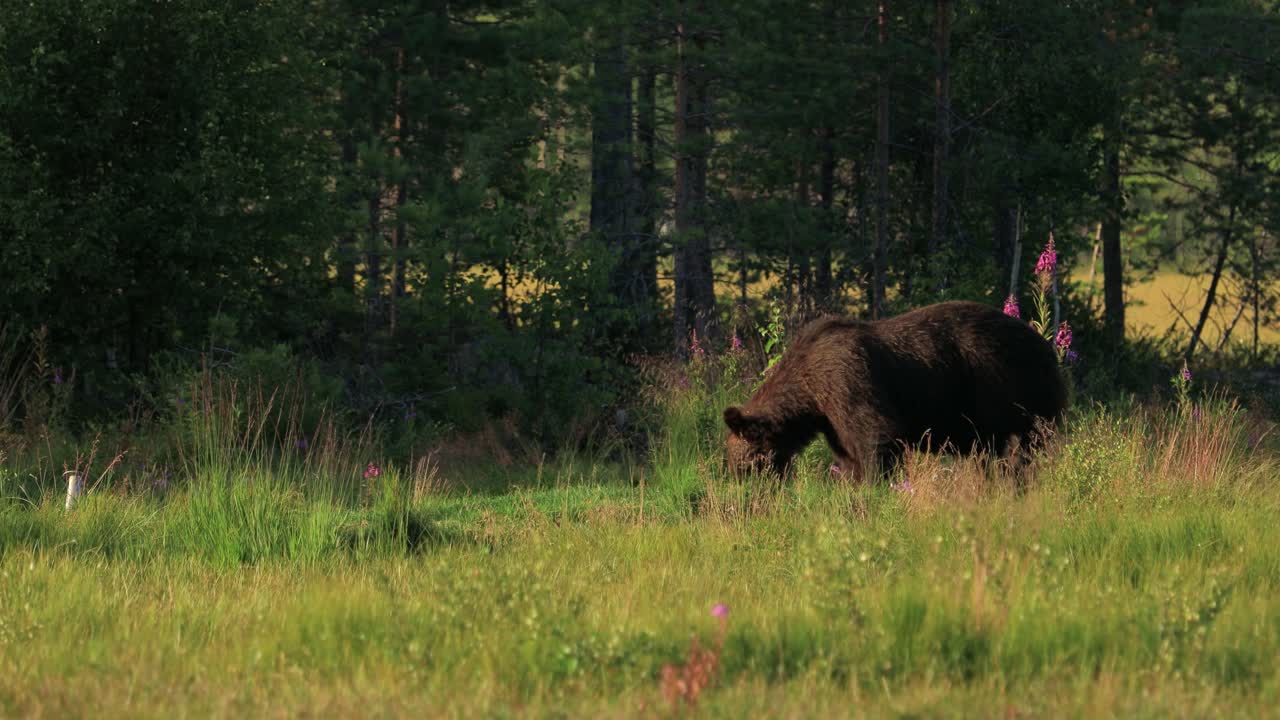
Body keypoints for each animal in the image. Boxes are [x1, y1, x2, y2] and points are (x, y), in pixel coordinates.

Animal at [723, 300, 1067, 481]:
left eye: (744, 464)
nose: (747, 496)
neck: (810, 396)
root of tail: (1046, 344)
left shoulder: (849, 382)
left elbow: (877, 438)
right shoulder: (833, 421)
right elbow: (851, 457)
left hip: (1019, 393)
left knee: (1027, 448)